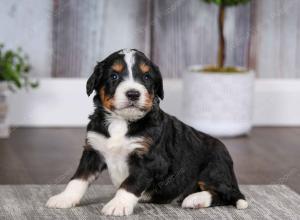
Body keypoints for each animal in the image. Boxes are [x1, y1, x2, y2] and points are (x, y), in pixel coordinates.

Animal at [46, 49, 248, 216]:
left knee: (228, 194)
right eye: (114, 76)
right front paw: (64, 198)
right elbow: (78, 178)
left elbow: (130, 183)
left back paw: (195, 199)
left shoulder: (150, 159)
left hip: (214, 168)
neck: (122, 122)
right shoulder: (93, 150)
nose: (133, 94)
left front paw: (118, 205)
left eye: (146, 77)